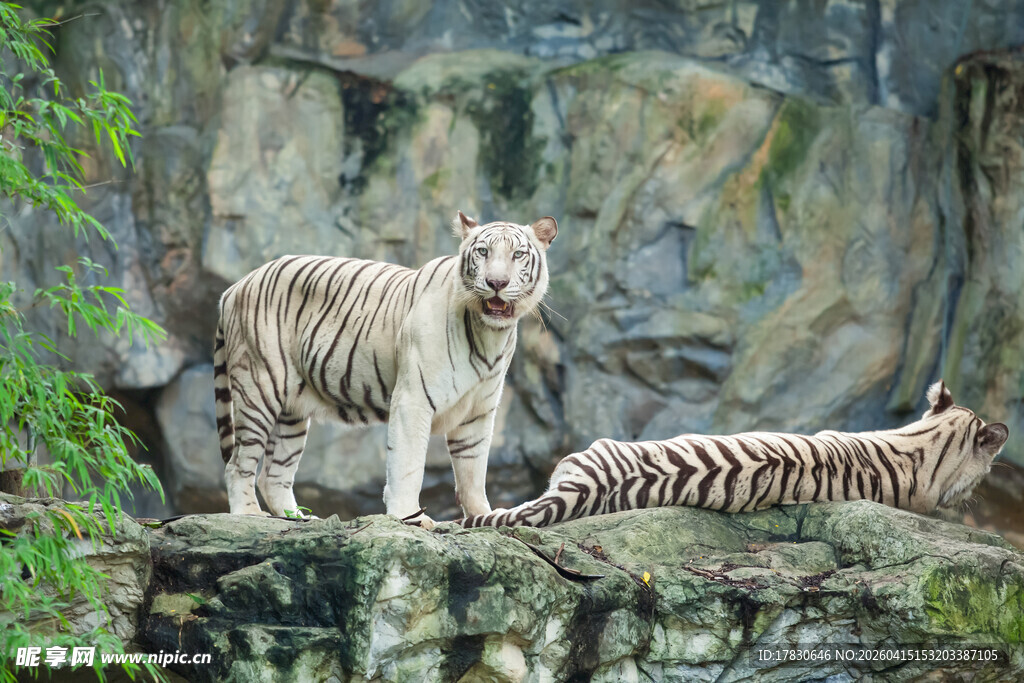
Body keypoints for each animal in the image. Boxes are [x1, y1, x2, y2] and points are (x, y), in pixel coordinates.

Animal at [213, 211, 558, 527]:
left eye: (517, 254)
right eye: (483, 252)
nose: (496, 283)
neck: (488, 333)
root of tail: (237, 286)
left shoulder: (478, 411)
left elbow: (473, 470)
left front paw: (482, 516)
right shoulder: (413, 399)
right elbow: (408, 464)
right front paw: (409, 516)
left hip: (291, 410)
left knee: (273, 474)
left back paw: (300, 519)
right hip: (259, 386)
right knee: (238, 463)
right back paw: (248, 514)